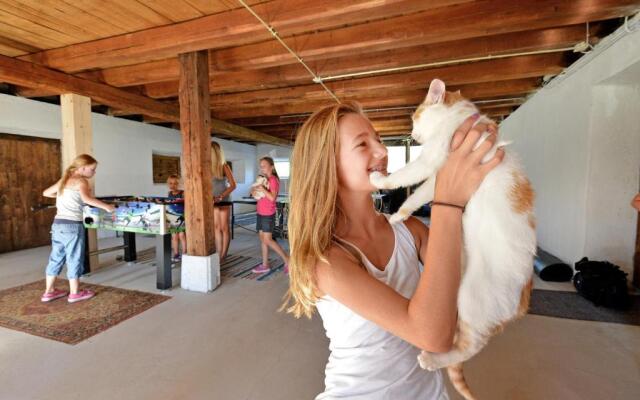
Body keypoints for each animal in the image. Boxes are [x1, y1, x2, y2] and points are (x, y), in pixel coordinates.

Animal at [368, 79, 536, 400]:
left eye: (415, 117)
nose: (413, 135)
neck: (458, 119)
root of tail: (520, 305)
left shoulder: (432, 163)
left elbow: (407, 177)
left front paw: (382, 184)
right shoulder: (437, 177)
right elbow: (417, 193)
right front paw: (398, 215)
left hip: (473, 297)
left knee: (469, 346)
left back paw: (432, 359)